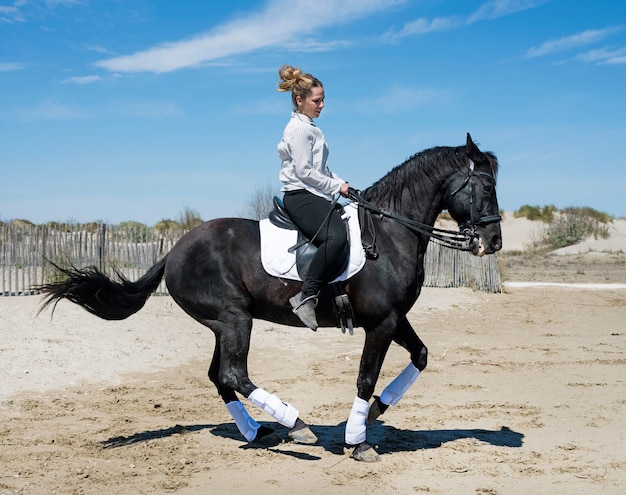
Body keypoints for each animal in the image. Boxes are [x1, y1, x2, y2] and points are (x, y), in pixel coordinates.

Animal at [39, 133, 500, 462]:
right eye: (486, 185)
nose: (492, 242)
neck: (388, 235)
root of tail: (174, 250)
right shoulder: (381, 322)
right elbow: (365, 378)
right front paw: (358, 440)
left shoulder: (394, 318)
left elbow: (420, 356)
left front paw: (374, 414)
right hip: (234, 320)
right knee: (233, 375)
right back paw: (296, 426)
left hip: (223, 325)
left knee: (220, 377)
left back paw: (256, 431)